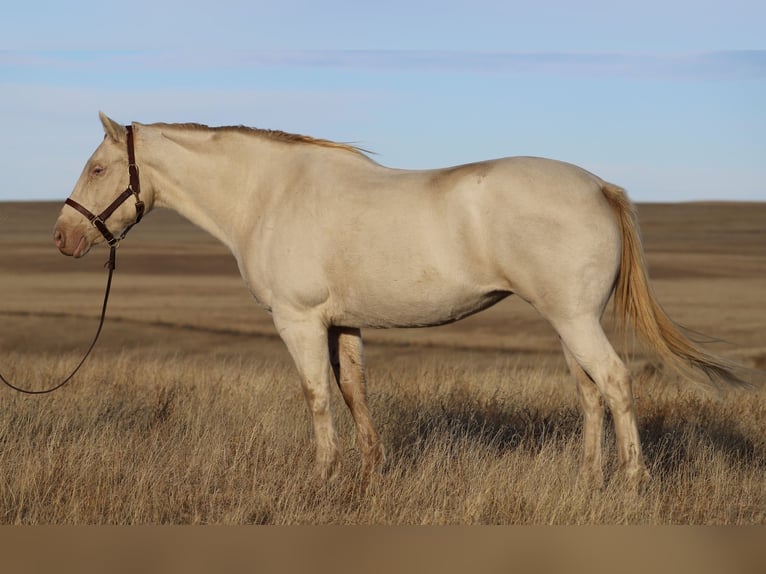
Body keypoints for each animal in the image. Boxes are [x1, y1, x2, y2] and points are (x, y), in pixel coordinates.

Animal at [51, 112, 748, 486]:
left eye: (96, 168)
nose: (62, 237)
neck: (269, 194)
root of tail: (598, 185)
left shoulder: (299, 322)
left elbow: (316, 396)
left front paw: (322, 476)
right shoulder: (343, 324)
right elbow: (354, 393)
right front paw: (370, 473)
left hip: (575, 320)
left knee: (616, 382)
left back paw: (630, 483)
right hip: (570, 320)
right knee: (589, 390)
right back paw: (587, 477)